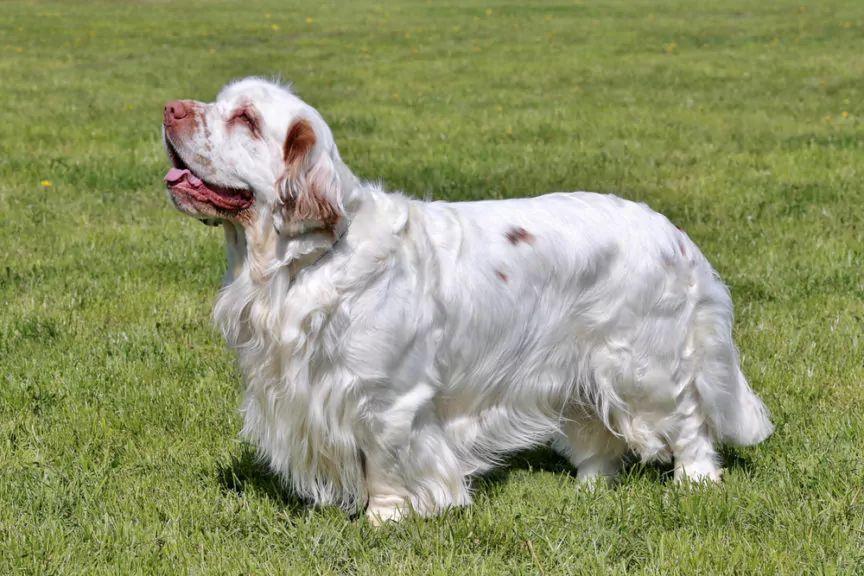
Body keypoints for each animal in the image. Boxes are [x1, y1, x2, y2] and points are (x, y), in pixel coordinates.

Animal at [164, 79, 776, 524]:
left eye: (245, 119)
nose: (169, 109)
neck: (303, 263)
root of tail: (673, 232)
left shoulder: (388, 398)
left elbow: (383, 463)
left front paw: (383, 520)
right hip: (577, 365)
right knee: (596, 429)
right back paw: (589, 486)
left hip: (642, 364)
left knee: (690, 417)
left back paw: (696, 479)